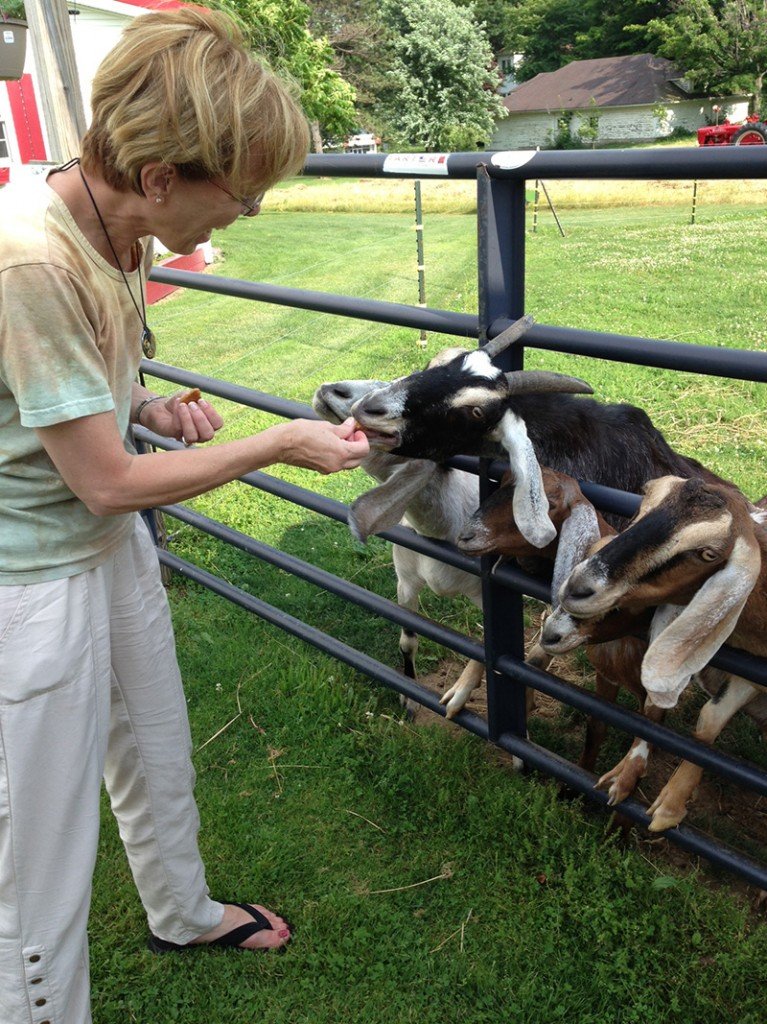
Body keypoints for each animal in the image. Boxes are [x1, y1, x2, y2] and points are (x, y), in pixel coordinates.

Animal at [556, 476, 767, 830]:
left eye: (708, 553)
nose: (577, 588)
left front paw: (668, 804)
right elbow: (702, 719)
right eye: (643, 507)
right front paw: (628, 776)